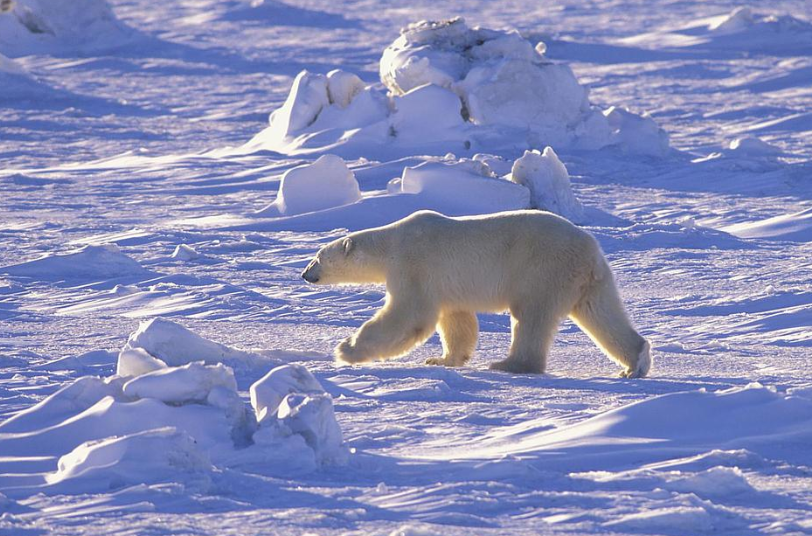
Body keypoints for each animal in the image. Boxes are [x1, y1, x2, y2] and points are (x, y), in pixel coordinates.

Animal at [302, 209, 652, 376]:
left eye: (317, 257)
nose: (305, 274)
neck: (392, 243)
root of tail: (590, 250)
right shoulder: (445, 284)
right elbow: (456, 320)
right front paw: (442, 359)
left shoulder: (413, 265)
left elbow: (409, 315)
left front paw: (346, 349)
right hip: (590, 281)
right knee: (602, 314)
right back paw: (634, 363)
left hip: (542, 269)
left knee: (531, 316)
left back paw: (509, 364)